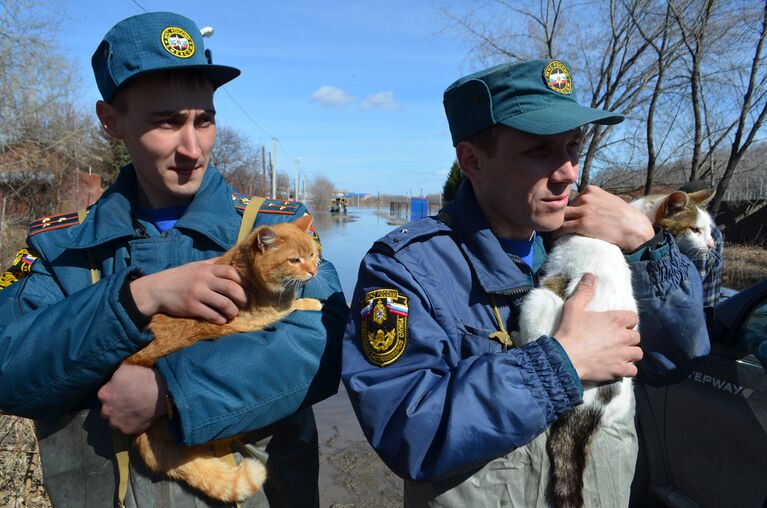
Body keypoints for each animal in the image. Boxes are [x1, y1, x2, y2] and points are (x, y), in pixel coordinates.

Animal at [125, 215, 320, 504]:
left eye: (313, 254)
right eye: (294, 260)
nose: (313, 271)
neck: (249, 277)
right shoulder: (256, 320)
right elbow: (294, 307)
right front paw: (312, 302)